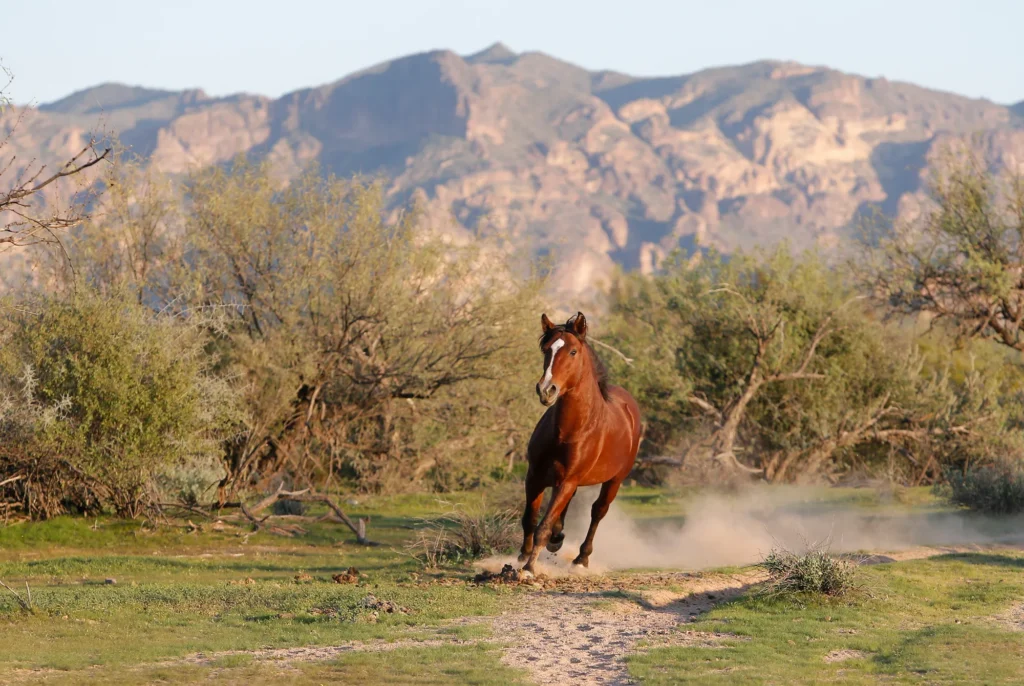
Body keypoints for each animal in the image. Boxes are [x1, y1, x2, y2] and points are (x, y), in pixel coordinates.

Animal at [518, 311, 643, 577]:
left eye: (573, 351)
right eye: (546, 349)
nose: (546, 390)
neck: (567, 431)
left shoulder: (567, 481)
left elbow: (543, 526)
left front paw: (529, 567)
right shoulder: (535, 476)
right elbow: (530, 519)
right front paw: (522, 554)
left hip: (614, 481)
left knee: (598, 511)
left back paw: (581, 558)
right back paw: (558, 540)